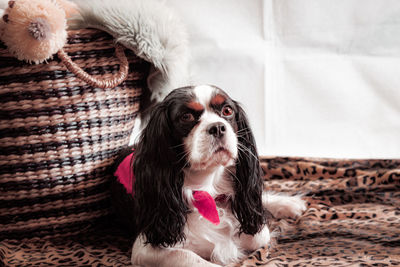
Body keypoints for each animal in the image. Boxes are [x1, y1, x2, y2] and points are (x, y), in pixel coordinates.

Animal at [114, 85, 304, 266]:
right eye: (186, 116)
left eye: (227, 111)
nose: (218, 127)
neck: (208, 188)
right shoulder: (147, 246)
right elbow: (186, 255)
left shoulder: (254, 230)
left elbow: (258, 234)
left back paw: (289, 204)